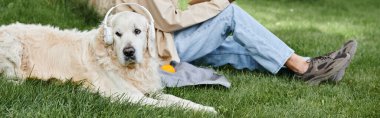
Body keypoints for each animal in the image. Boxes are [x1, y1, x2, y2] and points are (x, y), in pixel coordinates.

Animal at [0, 9, 217, 113]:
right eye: (117, 34)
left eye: (137, 31)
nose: (129, 52)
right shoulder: (129, 97)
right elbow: (166, 105)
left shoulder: (151, 89)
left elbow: (179, 100)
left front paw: (206, 108)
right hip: (14, 48)